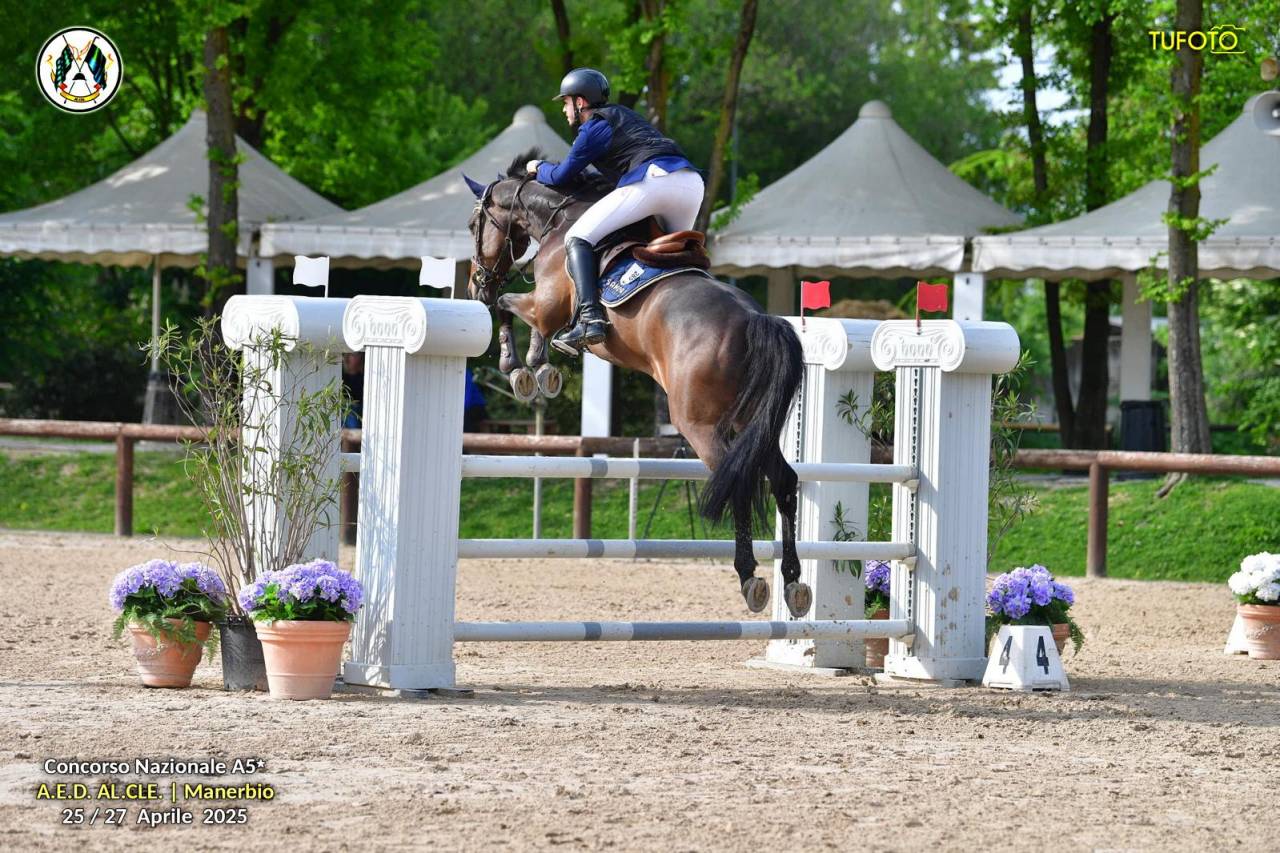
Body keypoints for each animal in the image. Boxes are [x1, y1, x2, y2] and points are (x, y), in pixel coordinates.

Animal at [465, 150, 812, 619]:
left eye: (473, 225)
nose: (474, 286)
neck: (557, 221)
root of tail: (755, 319)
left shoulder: (543, 304)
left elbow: (508, 308)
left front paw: (518, 368)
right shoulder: (545, 310)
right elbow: (531, 328)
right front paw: (541, 370)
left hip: (700, 426)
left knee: (738, 483)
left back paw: (749, 578)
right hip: (750, 425)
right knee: (784, 482)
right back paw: (793, 582)